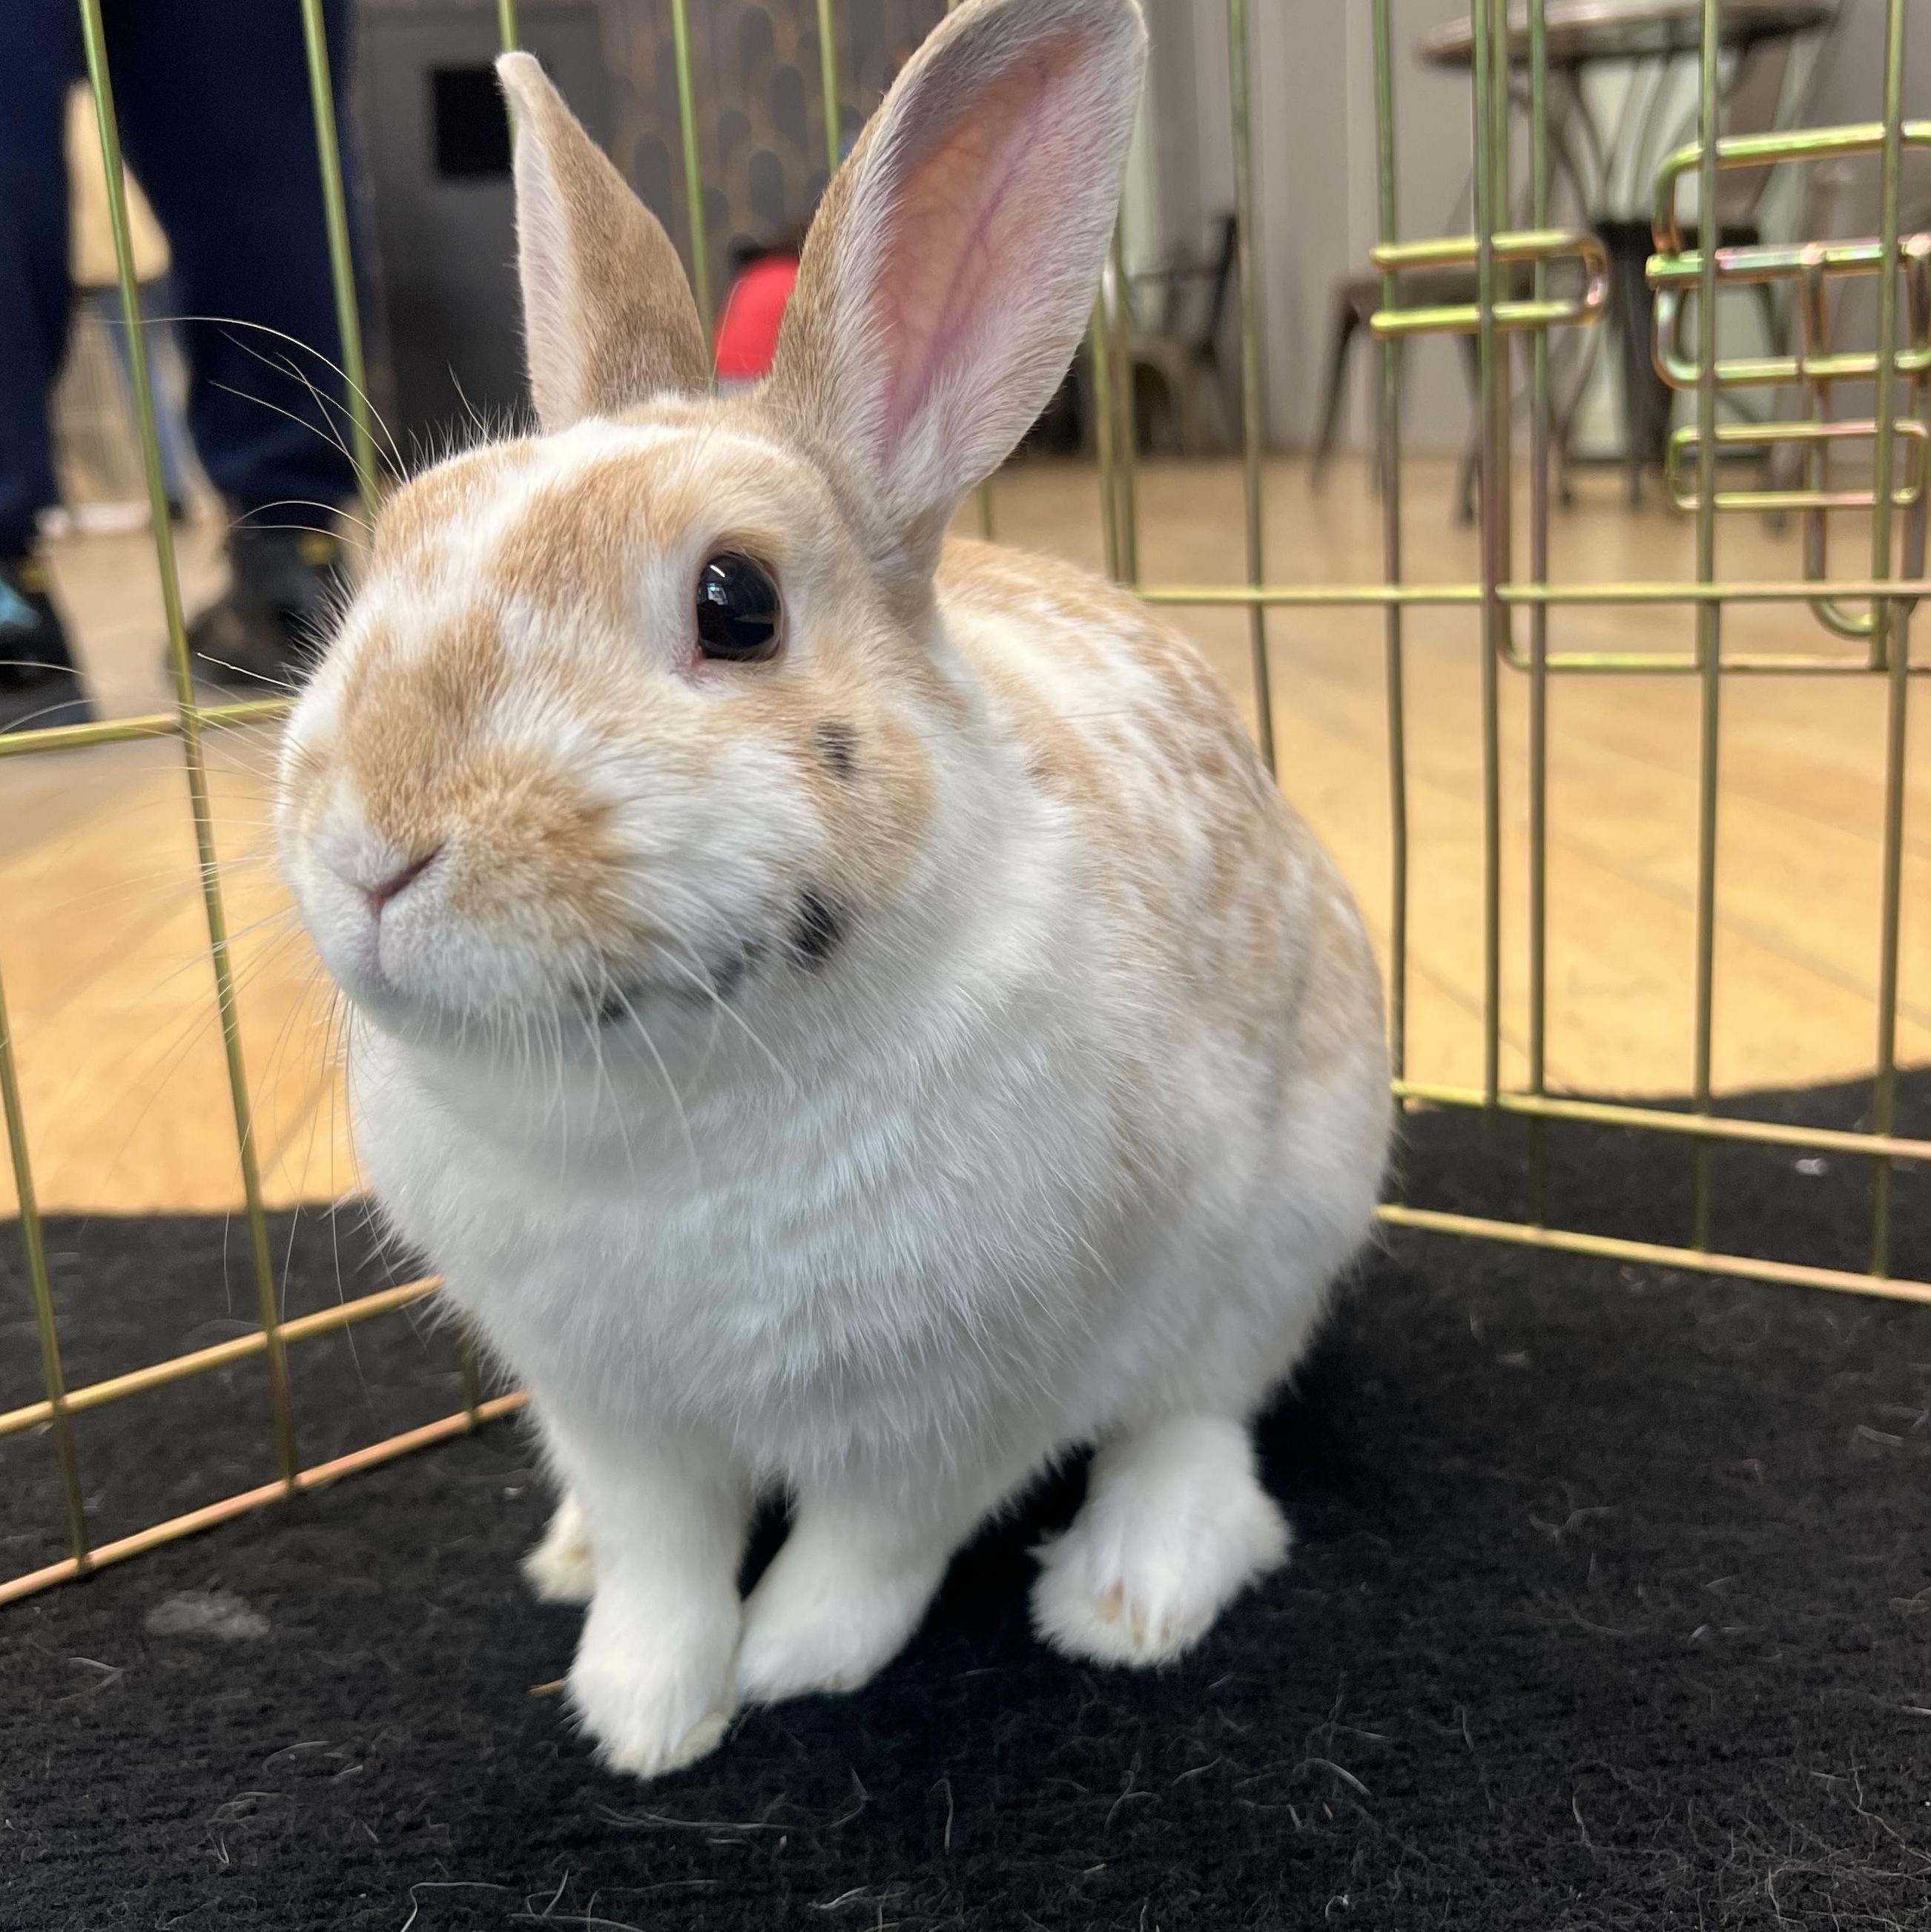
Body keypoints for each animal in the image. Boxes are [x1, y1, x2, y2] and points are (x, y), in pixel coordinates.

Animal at [276, 0, 1390, 1780]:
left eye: (735, 602)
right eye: (393, 549)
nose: (375, 844)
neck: (670, 1106)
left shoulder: (953, 1403)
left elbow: (872, 1548)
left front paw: (787, 1668)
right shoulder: (608, 1408)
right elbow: (660, 1554)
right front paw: (642, 1709)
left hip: (1281, 1233)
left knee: (1195, 1425)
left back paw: (1130, 1592)